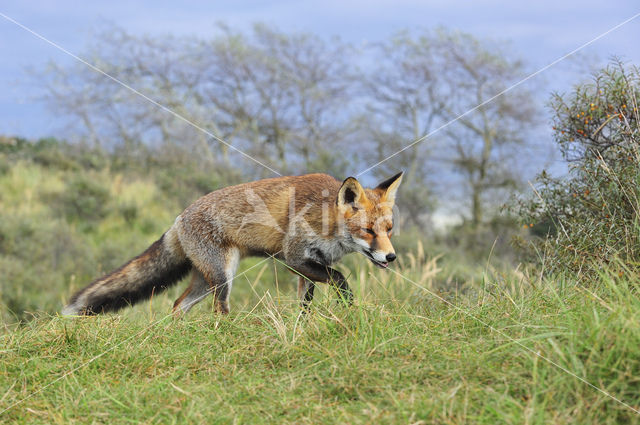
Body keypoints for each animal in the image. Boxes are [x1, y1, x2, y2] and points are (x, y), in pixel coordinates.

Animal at [62, 171, 402, 314]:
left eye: (388, 229)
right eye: (368, 231)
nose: (391, 257)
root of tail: (179, 218)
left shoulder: (311, 264)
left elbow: (305, 303)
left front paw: (304, 326)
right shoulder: (294, 258)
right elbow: (341, 279)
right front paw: (348, 307)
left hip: (206, 279)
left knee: (178, 304)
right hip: (222, 277)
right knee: (219, 308)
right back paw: (226, 332)